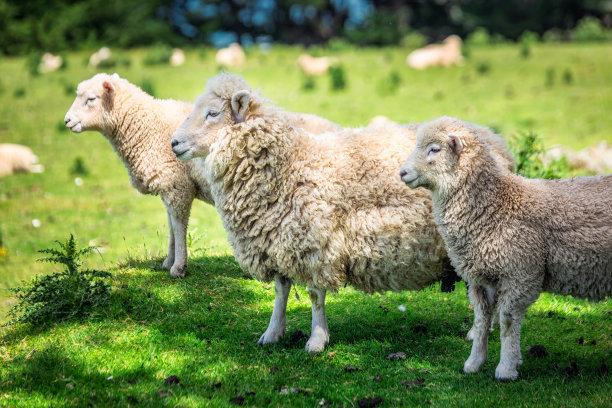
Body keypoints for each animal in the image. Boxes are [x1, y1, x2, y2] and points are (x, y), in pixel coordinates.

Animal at [64, 72, 342, 278]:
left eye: (91, 99)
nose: (66, 121)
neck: (145, 125)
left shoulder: (177, 187)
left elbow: (178, 225)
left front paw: (178, 267)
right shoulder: (170, 187)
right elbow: (170, 226)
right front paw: (168, 261)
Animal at [402, 116, 612, 380]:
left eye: (434, 149)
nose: (402, 172)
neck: (495, 205)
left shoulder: (520, 274)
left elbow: (508, 321)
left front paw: (506, 368)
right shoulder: (481, 278)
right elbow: (481, 320)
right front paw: (474, 362)